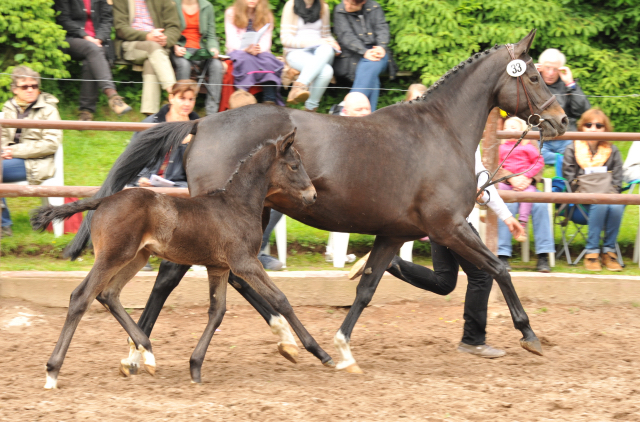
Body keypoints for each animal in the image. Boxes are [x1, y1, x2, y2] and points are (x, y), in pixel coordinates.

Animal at [31, 129, 336, 390]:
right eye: (294, 165)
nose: (312, 195)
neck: (236, 205)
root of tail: (103, 201)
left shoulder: (219, 267)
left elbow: (217, 311)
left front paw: (195, 366)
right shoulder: (245, 263)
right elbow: (280, 299)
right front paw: (321, 353)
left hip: (136, 257)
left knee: (109, 294)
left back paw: (147, 353)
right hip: (113, 255)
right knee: (81, 296)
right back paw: (53, 371)